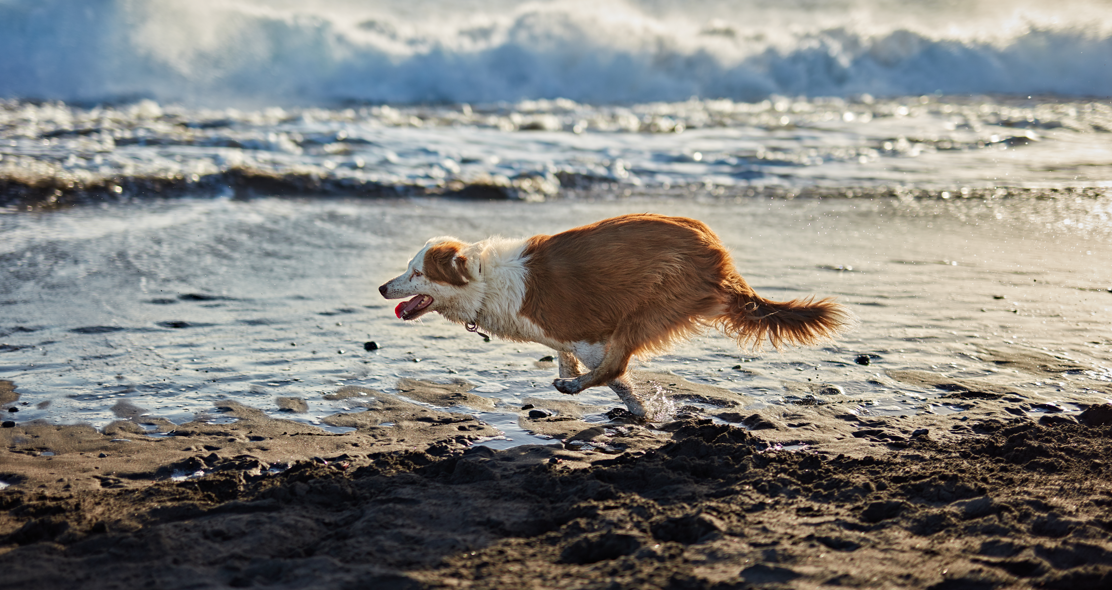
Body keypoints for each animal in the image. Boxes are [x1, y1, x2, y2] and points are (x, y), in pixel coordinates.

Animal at [378, 213, 845, 415]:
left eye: (416, 273)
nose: (383, 288)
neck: (484, 279)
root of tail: (720, 256)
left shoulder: (587, 333)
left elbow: (614, 374)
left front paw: (636, 408)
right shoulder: (564, 337)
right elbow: (572, 360)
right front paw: (638, 409)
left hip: (652, 304)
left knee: (617, 362)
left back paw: (575, 390)